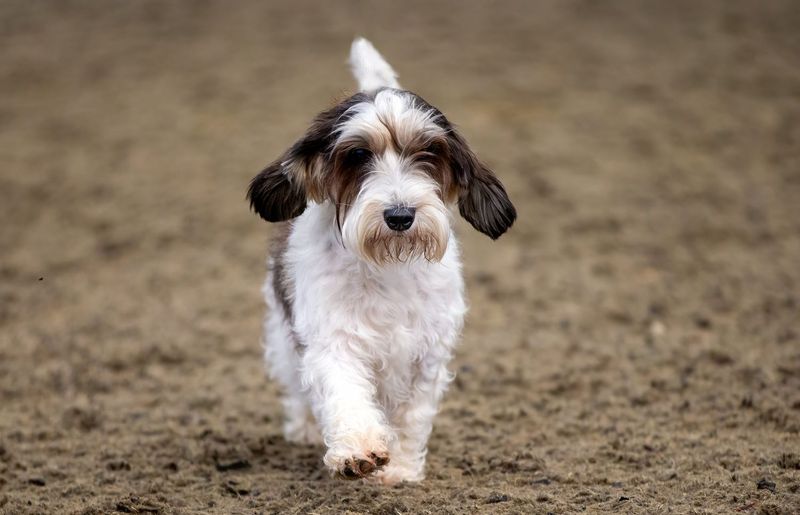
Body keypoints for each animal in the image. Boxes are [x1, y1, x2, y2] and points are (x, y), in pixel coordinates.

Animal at [247, 38, 516, 486]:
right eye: (358, 154)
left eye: (428, 152)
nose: (400, 215)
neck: (387, 267)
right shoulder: (334, 340)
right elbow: (345, 394)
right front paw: (358, 452)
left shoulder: (427, 352)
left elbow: (411, 417)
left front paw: (400, 470)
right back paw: (304, 430)